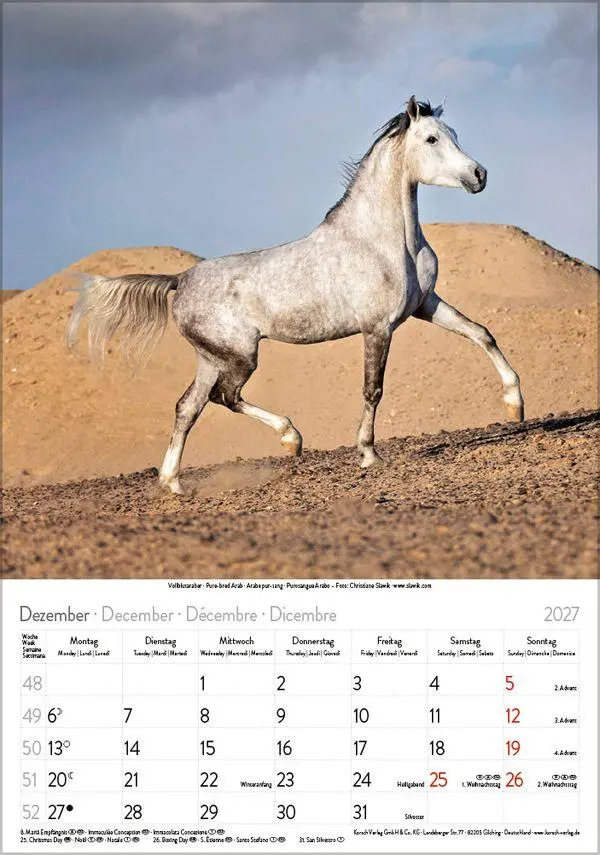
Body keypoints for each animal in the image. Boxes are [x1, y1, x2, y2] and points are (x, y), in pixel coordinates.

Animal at [67, 96, 524, 494]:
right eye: (431, 139)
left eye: (453, 134)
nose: (479, 175)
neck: (382, 240)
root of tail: (180, 279)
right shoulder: (378, 328)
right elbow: (372, 389)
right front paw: (368, 455)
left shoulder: (424, 306)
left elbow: (482, 333)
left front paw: (515, 405)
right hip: (240, 355)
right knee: (224, 398)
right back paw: (291, 439)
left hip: (211, 358)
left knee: (188, 408)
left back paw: (173, 483)